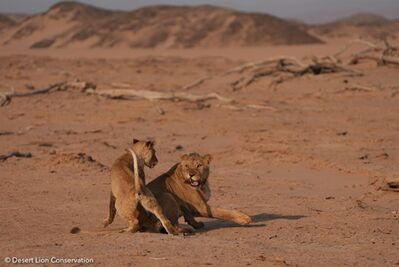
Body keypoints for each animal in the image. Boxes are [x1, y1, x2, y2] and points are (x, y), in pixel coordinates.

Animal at [104, 139, 252, 236]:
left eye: (199, 165)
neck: (202, 184)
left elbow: (189, 214)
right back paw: (182, 230)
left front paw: (196, 224)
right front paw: (244, 219)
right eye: (186, 166)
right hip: (167, 196)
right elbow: (224, 212)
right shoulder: (202, 207)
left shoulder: (189, 206)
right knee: (164, 224)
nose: (191, 175)